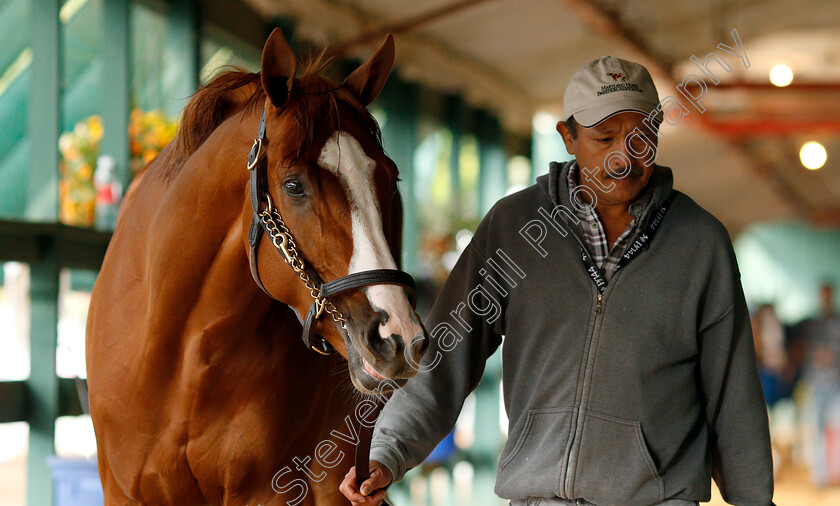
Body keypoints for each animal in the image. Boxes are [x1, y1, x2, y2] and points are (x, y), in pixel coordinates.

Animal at [87, 29, 426, 504]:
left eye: (390, 179)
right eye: (294, 186)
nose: (397, 337)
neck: (178, 356)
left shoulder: (273, 489)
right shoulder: (122, 490)